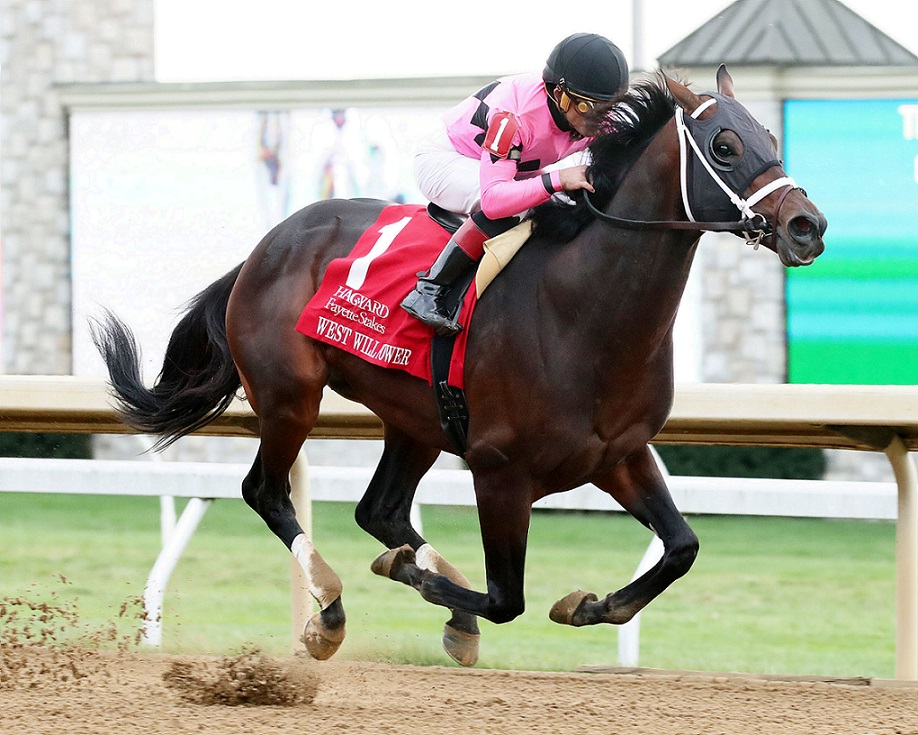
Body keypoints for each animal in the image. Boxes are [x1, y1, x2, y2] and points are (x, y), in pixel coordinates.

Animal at [91, 67, 826, 667]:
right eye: (725, 147)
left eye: (769, 136)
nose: (807, 226)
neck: (584, 309)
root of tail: (262, 248)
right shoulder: (500, 471)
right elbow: (507, 598)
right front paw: (420, 582)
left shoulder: (619, 452)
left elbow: (681, 547)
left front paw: (589, 604)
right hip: (289, 395)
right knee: (267, 493)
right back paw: (329, 610)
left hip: (415, 419)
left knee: (380, 509)